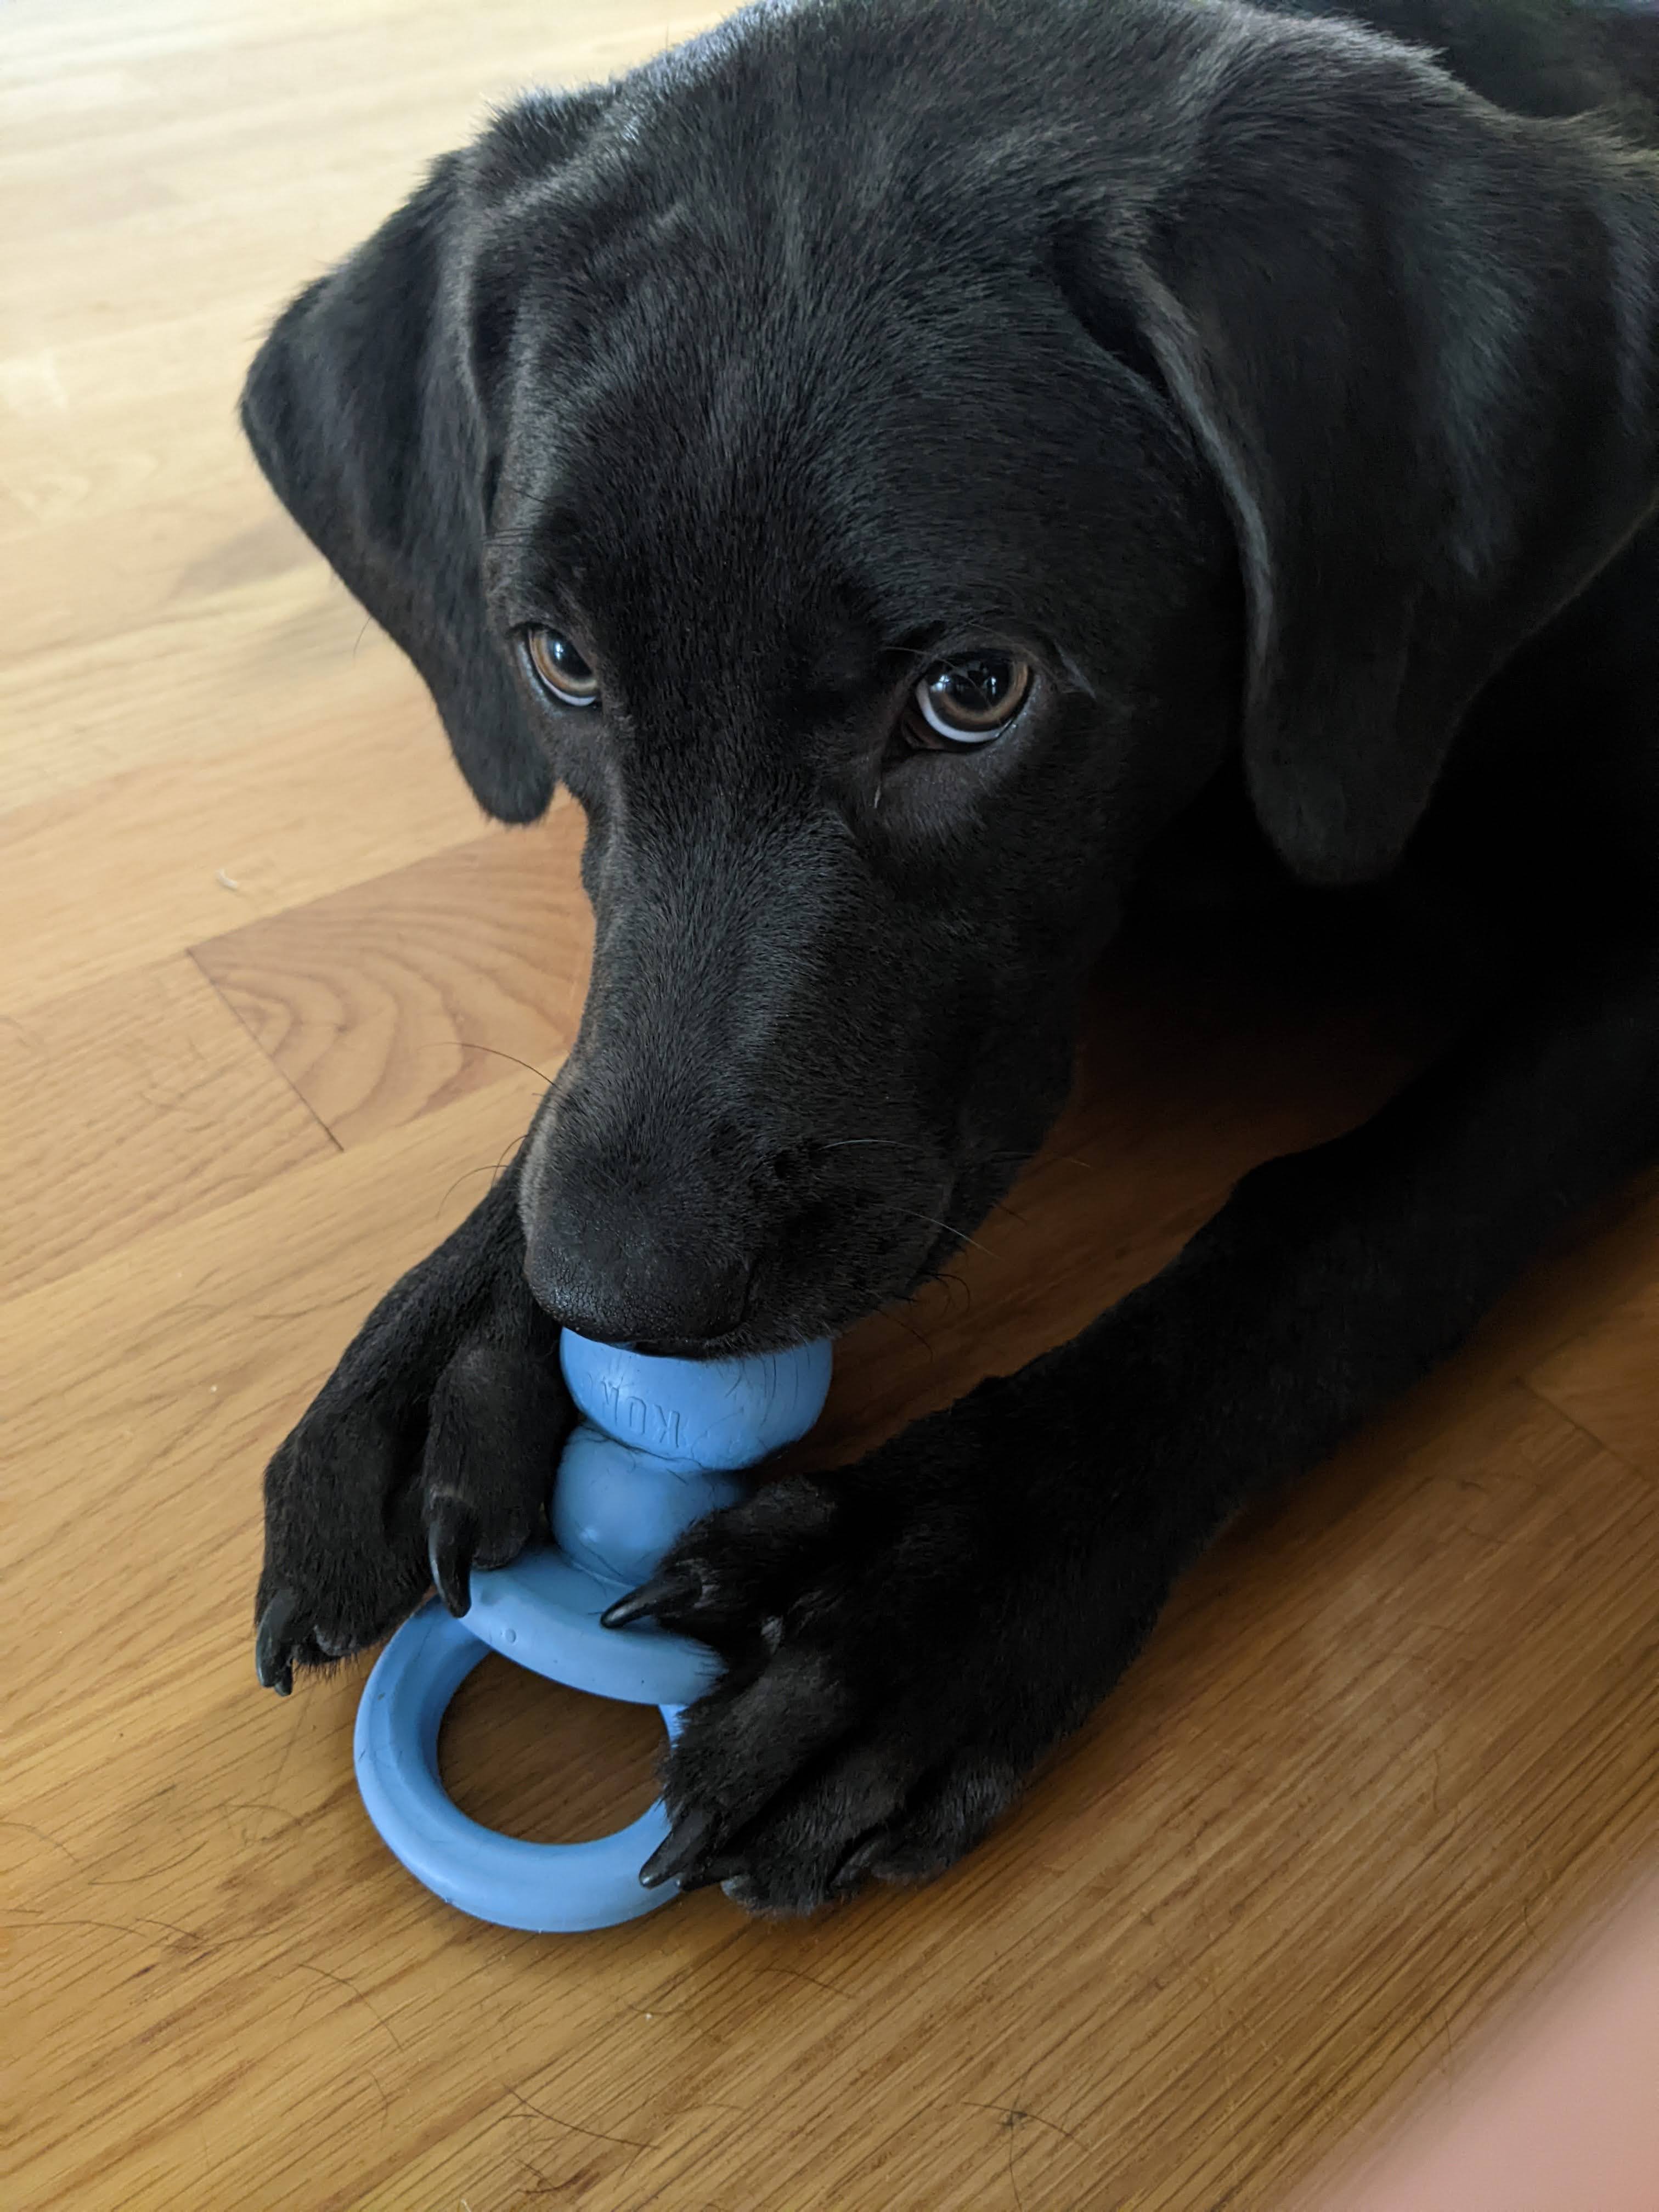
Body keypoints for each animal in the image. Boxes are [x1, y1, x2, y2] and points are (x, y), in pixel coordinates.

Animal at [243, 0, 1659, 1911]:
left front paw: (933, 1576)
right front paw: (449, 1348)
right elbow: (573, 1105)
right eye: (560, 661)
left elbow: (1356, 1214)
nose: (620, 1299)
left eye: (975, 690)